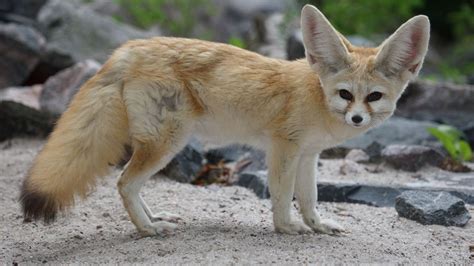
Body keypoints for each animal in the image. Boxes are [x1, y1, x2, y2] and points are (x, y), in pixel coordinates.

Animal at [21, 5, 430, 236]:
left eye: (373, 97)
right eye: (345, 95)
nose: (357, 118)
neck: (315, 96)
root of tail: (130, 48)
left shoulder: (308, 155)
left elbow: (310, 198)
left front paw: (317, 226)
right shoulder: (283, 149)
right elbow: (282, 197)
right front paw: (287, 228)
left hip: (163, 145)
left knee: (129, 185)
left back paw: (155, 218)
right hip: (167, 144)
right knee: (124, 183)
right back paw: (147, 228)